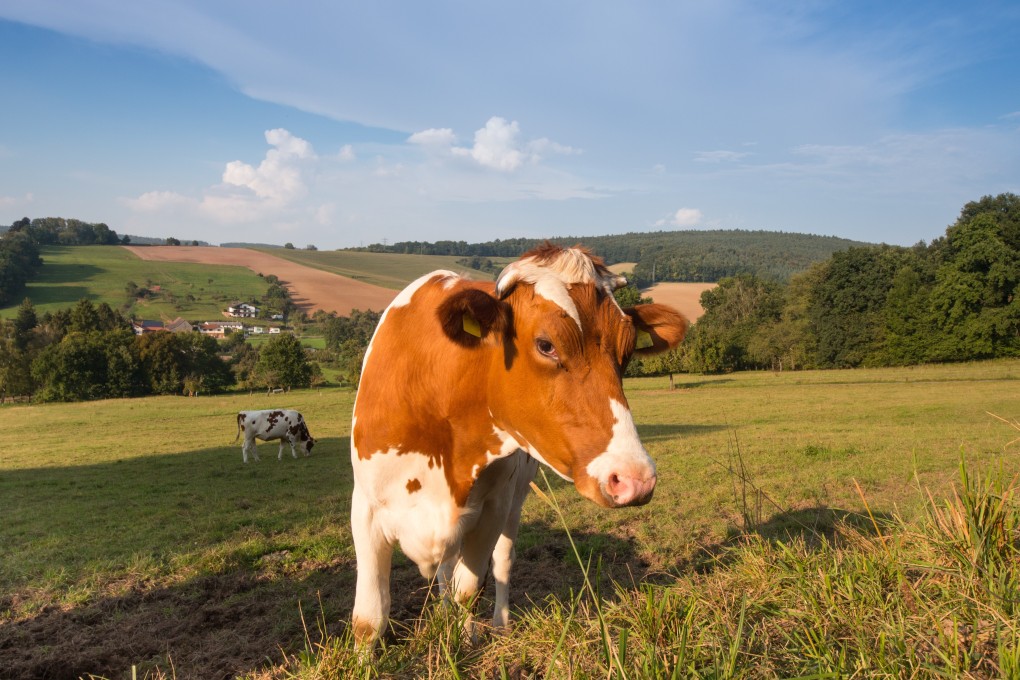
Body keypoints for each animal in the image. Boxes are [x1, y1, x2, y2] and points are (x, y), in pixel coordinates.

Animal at [349, 244, 689, 648]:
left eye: (627, 351)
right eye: (546, 345)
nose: (635, 479)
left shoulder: (493, 508)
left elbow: (470, 588)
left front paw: (466, 641)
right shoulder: (366, 507)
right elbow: (369, 619)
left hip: (515, 500)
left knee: (498, 564)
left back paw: (497, 623)